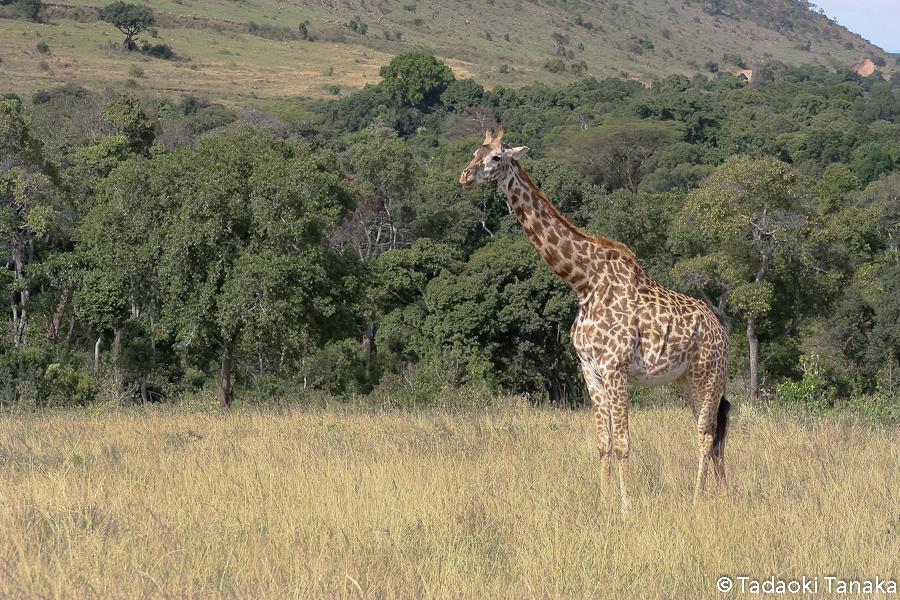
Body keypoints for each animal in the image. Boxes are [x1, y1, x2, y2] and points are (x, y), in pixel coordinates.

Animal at [460, 130, 728, 510]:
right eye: (474, 153)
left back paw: (696, 501)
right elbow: (603, 443)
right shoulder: (590, 369)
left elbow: (624, 443)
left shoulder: (615, 368)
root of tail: (722, 331)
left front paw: (627, 508)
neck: (583, 282)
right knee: (714, 433)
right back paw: (723, 496)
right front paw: (603, 506)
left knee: (705, 435)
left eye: (497, 157)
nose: (465, 177)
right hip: (687, 379)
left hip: (710, 375)